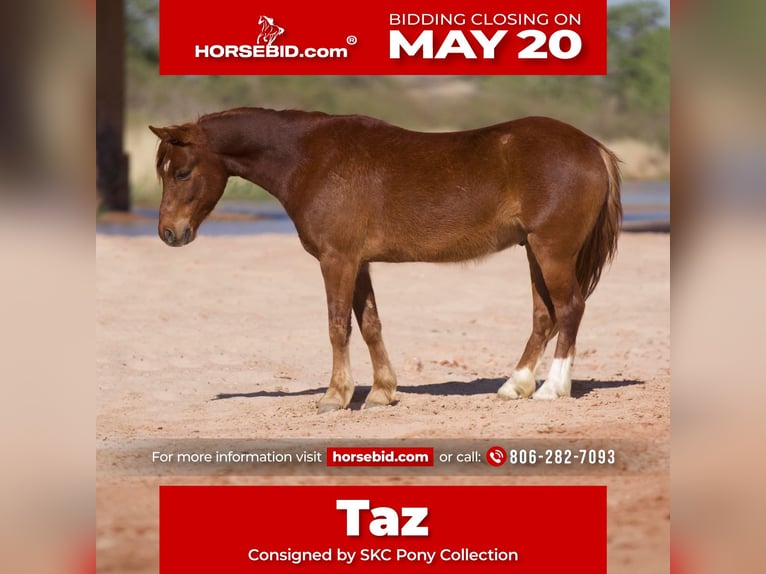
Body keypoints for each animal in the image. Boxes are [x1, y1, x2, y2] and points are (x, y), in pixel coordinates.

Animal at [150, 107, 622, 413]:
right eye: (164, 171)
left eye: (182, 172)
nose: (169, 233)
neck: (311, 158)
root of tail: (591, 147)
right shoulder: (359, 263)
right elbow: (370, 325)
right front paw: (380, 393)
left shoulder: (336, 260)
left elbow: (338, 325)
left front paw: (335, 396)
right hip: (534, 252)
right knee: (545, 315)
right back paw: (514, 386)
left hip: (552, 250)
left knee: (569, 308)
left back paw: (551, 389)